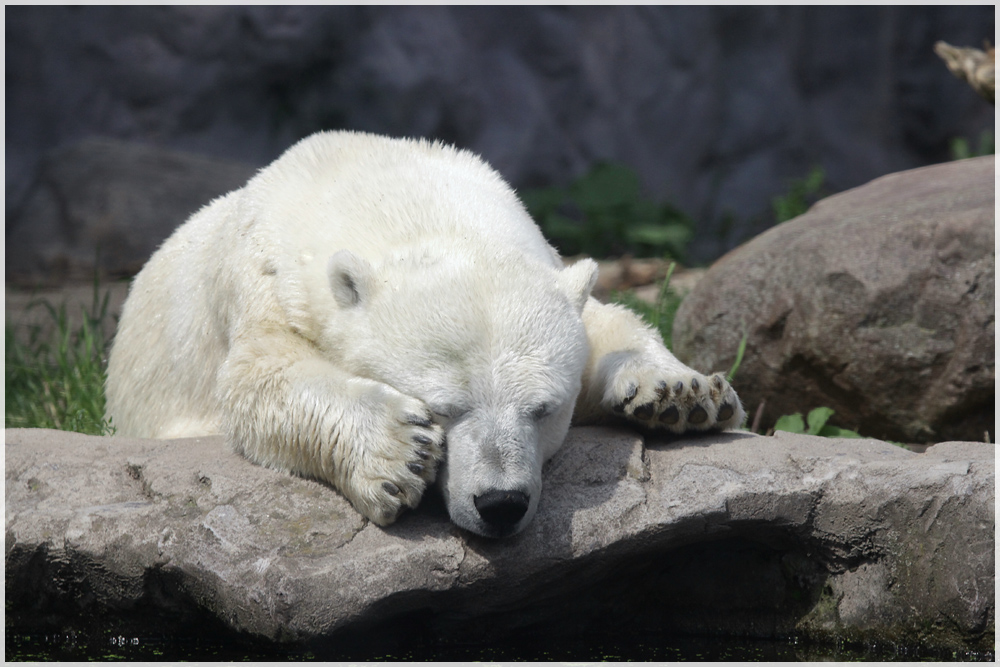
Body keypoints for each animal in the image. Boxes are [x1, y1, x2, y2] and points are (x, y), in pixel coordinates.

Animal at [105, 133, 744, 540]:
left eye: (544, 409)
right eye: (442, 409)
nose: (501, 505)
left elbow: (605, 322)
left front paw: (681, 394)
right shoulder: (266, 280)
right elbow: (259, 378)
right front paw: (396, 451)